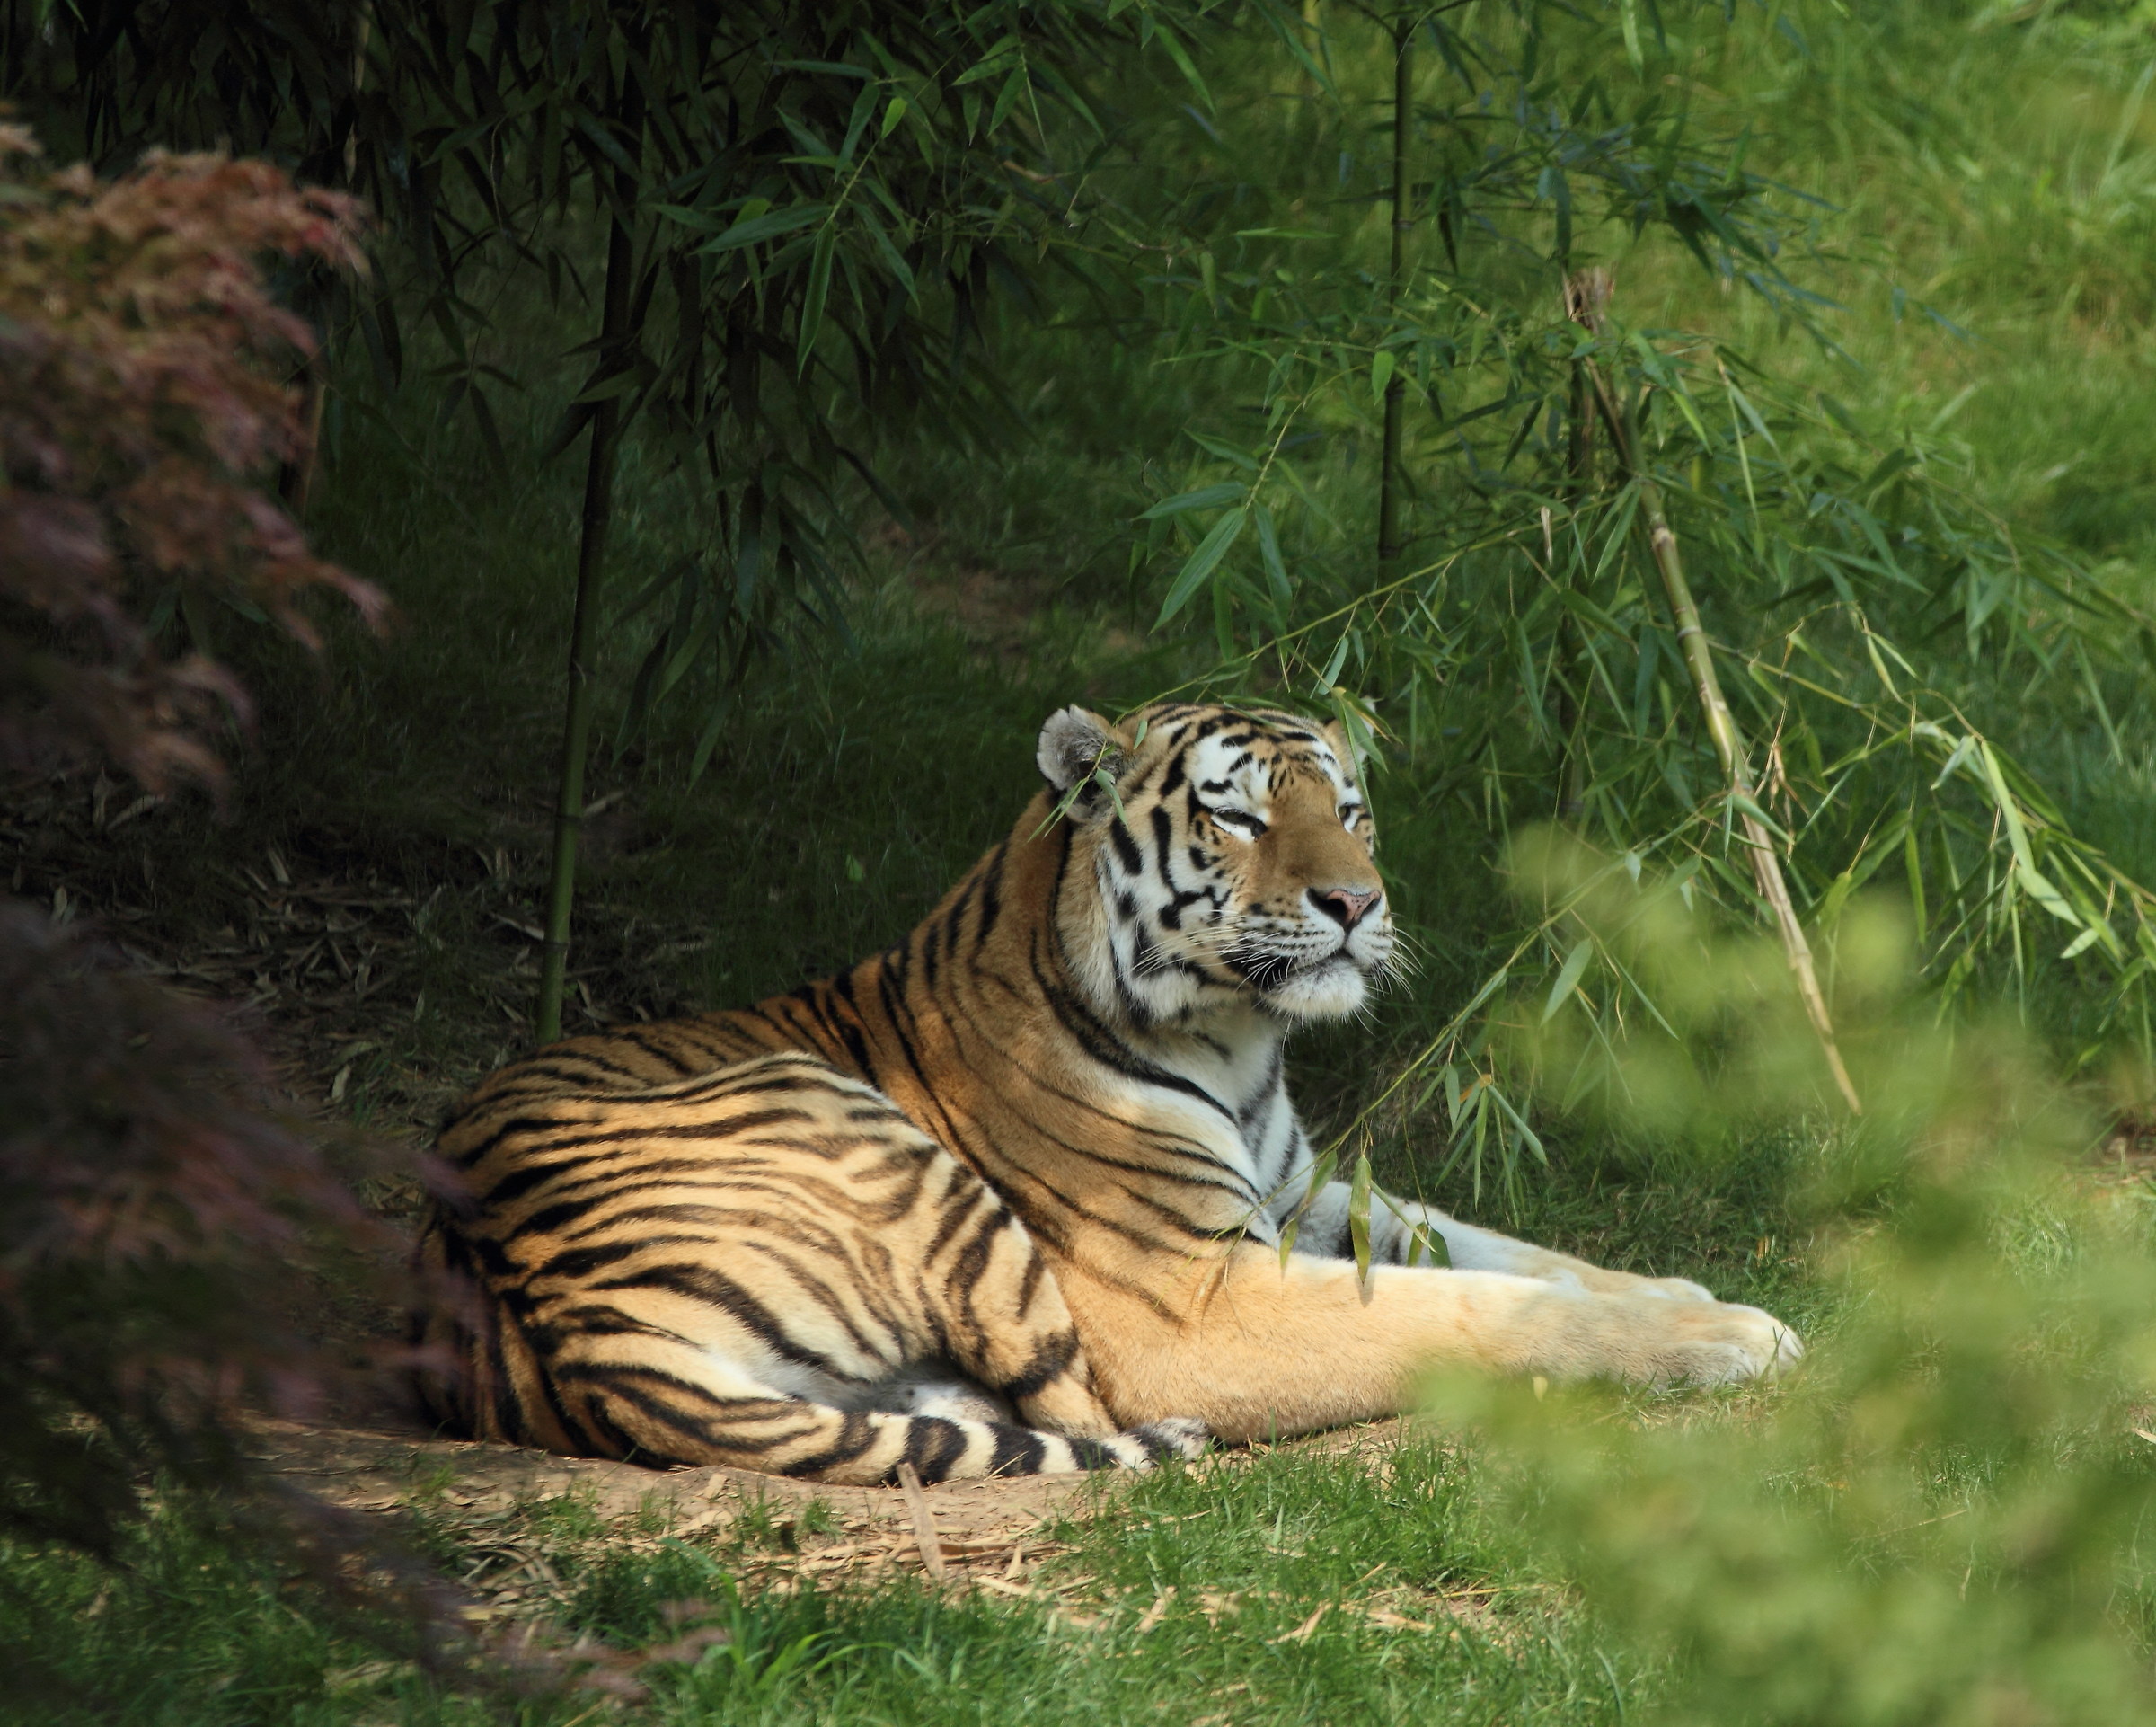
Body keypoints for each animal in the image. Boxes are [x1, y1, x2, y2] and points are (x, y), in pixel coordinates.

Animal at [412, 702, 1800, 1485]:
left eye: (1352, 810)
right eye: (1241, 819)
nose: (1358, 901)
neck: (1244, 1044)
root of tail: (551, 1316)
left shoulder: (1301, 1189)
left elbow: (1515, 1251)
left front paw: (1690, 1296)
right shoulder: (1192, 1297)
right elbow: (1470, 1304)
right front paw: (1727, 1336)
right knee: (1078, 1410)